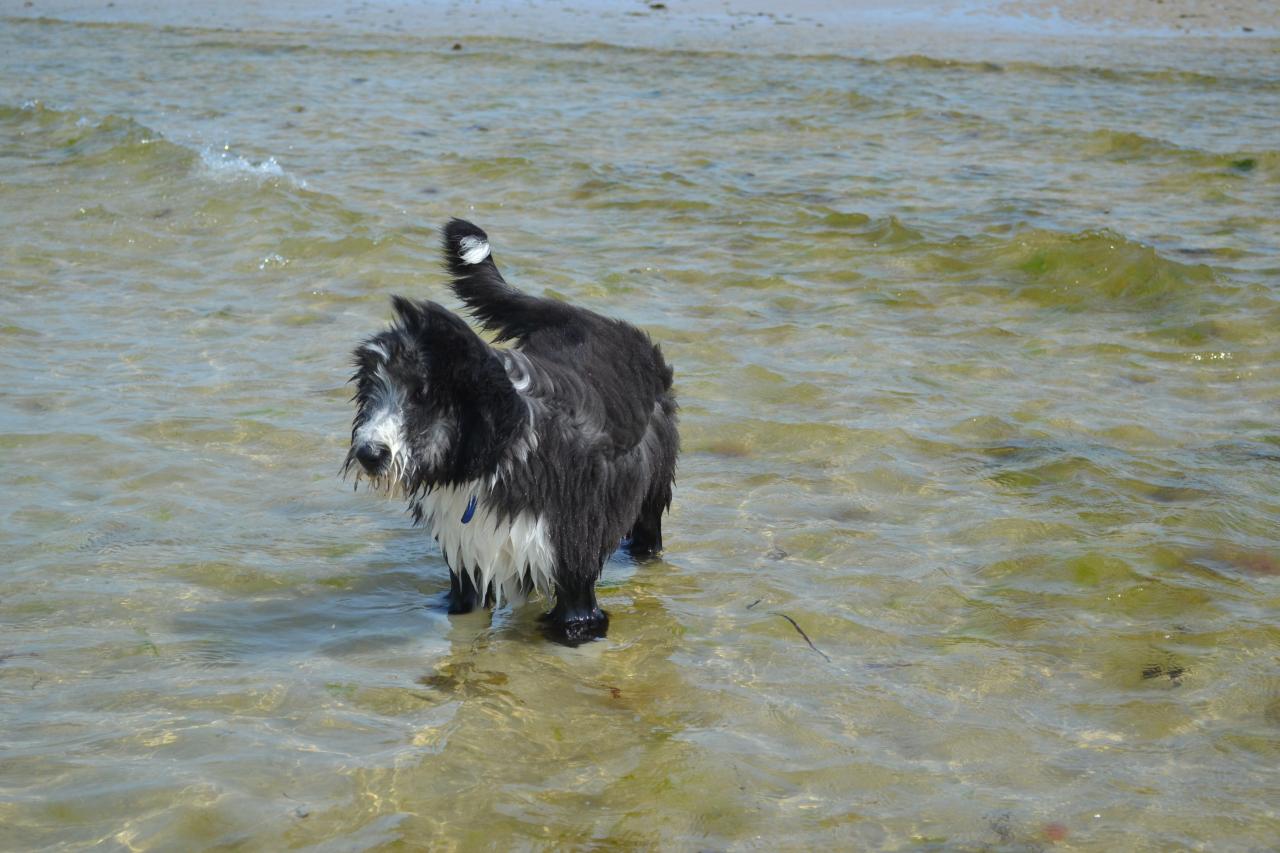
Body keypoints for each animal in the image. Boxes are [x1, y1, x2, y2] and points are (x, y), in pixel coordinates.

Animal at [340, 216, 680, 640]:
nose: (369, 454)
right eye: (372, 389)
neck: (493, 461)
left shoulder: (572, 572)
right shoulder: (468, 561)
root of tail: (594, 320)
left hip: (652, 492)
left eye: (422, 395)